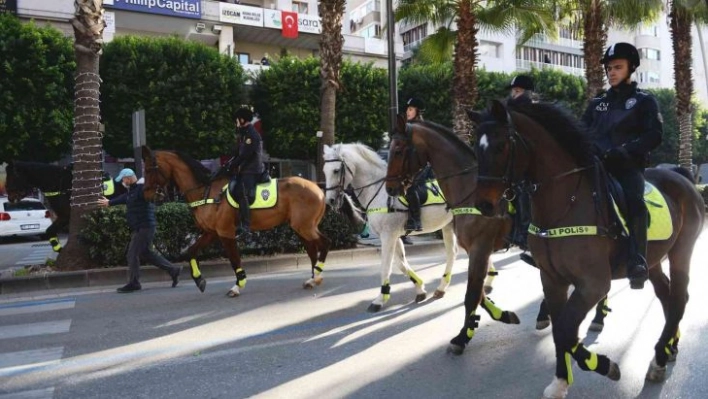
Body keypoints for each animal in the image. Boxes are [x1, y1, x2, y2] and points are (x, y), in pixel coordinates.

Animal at [142, 146, 334, 296]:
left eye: (150, 169)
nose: (147, 195)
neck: (206, 191)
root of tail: (317, 188)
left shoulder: (225, 232)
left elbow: (234, 259)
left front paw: (238, 285)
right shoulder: (211, 233)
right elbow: (191, 251)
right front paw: (199, 279)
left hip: (304, 226)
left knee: (325, 243)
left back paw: (317, 274)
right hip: (300, 227)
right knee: (312, 249)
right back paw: (313, 279)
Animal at [320, 143, 492, 312]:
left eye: (336, 170)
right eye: (324, 171)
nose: (330, 200)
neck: (379, 193)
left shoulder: (388, 235)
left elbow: (386, 266)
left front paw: (380, 299)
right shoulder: (394, 236)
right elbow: (401, 264)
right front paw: (420, 290)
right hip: (449, 225)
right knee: (456, 252)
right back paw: (447, 287)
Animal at [384, 114, 524, 354]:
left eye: (399, 150)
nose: (390, 189)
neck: (471, 189)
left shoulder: (480, 249)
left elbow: (472, 295)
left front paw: (462, 337)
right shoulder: (475, 250)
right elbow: (478, 294)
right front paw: (499, 315)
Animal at [468, 101, 704, 399]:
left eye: (501, 146)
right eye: (476, 147)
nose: (483, 204)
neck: (565, 203)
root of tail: (681, 176)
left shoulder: (593, 284)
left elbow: (566, 331)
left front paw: (604, 365)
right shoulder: (553, 280)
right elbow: (560, 331)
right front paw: (561, 381)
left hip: (681, 252)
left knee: (679, 298)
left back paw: (659, 359)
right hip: (652, 261)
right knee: (668, 297)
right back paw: (669, 348)